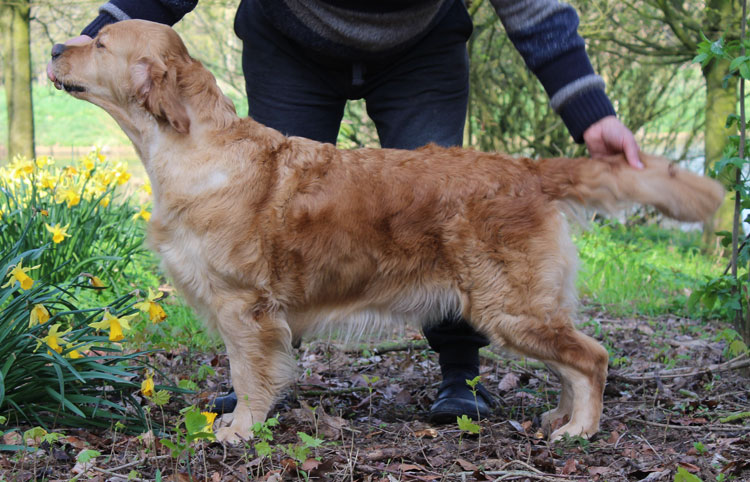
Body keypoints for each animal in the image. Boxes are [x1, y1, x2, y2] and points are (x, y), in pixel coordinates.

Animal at [48, 19, 728, 444]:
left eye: (99, 42)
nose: (53, 48)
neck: (192, 147)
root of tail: (526, 168)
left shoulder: (245, 306)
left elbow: (248, 375)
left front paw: (241, 430)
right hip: (527, 306)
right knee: (572, 363)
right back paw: (559, 419)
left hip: (510, 307)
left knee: (592, 356)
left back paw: (581, 431)